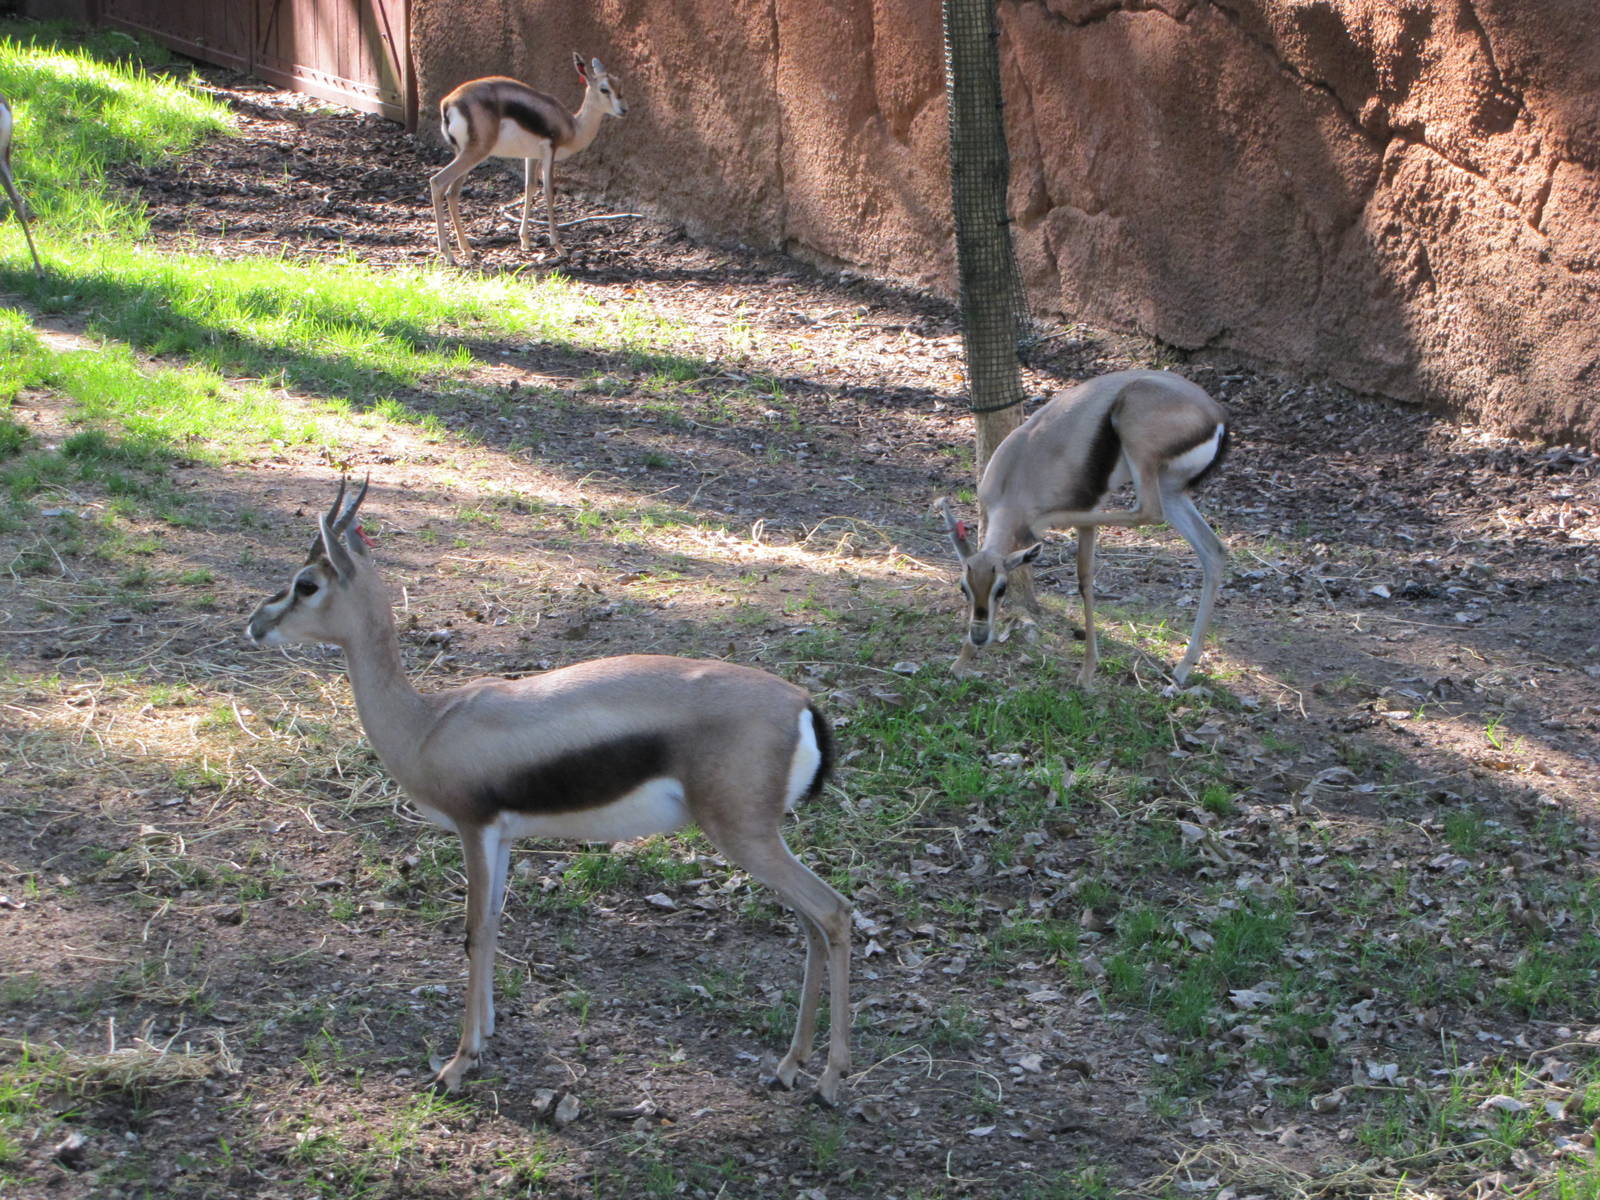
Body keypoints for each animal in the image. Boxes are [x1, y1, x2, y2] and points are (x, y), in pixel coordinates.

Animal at [246, 479, 852, 1104]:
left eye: (306, 584)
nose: (256, 622)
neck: (427, 723)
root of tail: (804, 706)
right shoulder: (503, 836)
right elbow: (493, 921)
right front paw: (485, 1034)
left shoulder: (474, 828)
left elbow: (475, 930)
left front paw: (459, 1063)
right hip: (759, 838)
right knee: (812, 923)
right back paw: (790, 1065)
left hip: (744, 836)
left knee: (834, 913)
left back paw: (829, 1078)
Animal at [430, 54, 626, 264]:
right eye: (604, 89)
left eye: (619, 84)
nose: (624, 110)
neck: (573, 126)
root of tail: (448, 104)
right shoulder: (550, 151)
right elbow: (548, 192)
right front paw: (558, 246)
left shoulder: (531, 156)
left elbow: (529, 187)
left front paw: (525, 241)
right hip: (474, 153)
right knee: (437, 182)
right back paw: (448, 254)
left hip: (465, 154)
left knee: (452, 193)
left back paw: (467, 250)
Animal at [940, 370, 1229, 685]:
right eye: (964, 588)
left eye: (1001, 589)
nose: (979, 636)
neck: (1018, 474)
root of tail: (1217, 416)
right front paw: (959, 662)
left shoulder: (1089, 510)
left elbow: (1084, 580)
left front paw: (1088, 670)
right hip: (1171, 489)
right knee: (1213, 551)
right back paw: (1182, 669)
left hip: (1143, 466)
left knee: (1149, 512)